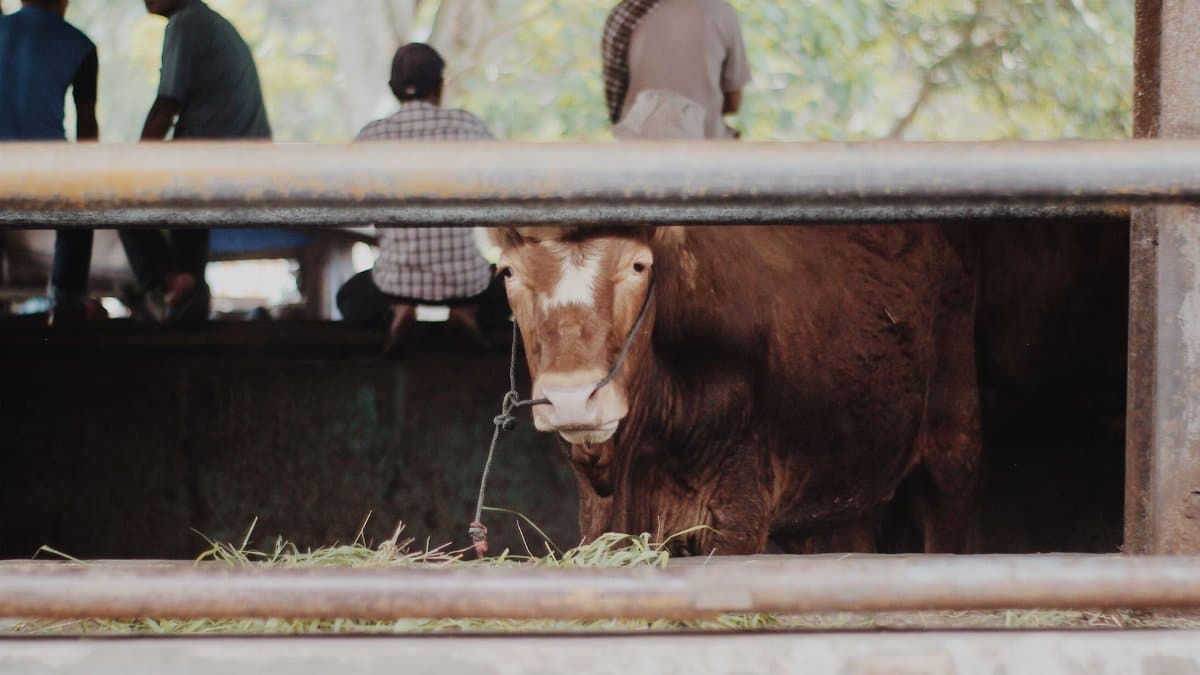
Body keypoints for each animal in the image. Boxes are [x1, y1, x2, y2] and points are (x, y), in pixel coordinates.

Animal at [491, 225, 981, 555]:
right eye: (510, 272)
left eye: (637, 264)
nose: (572, 397)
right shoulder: (600, 519)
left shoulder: (737, 517)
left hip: (955, 441)